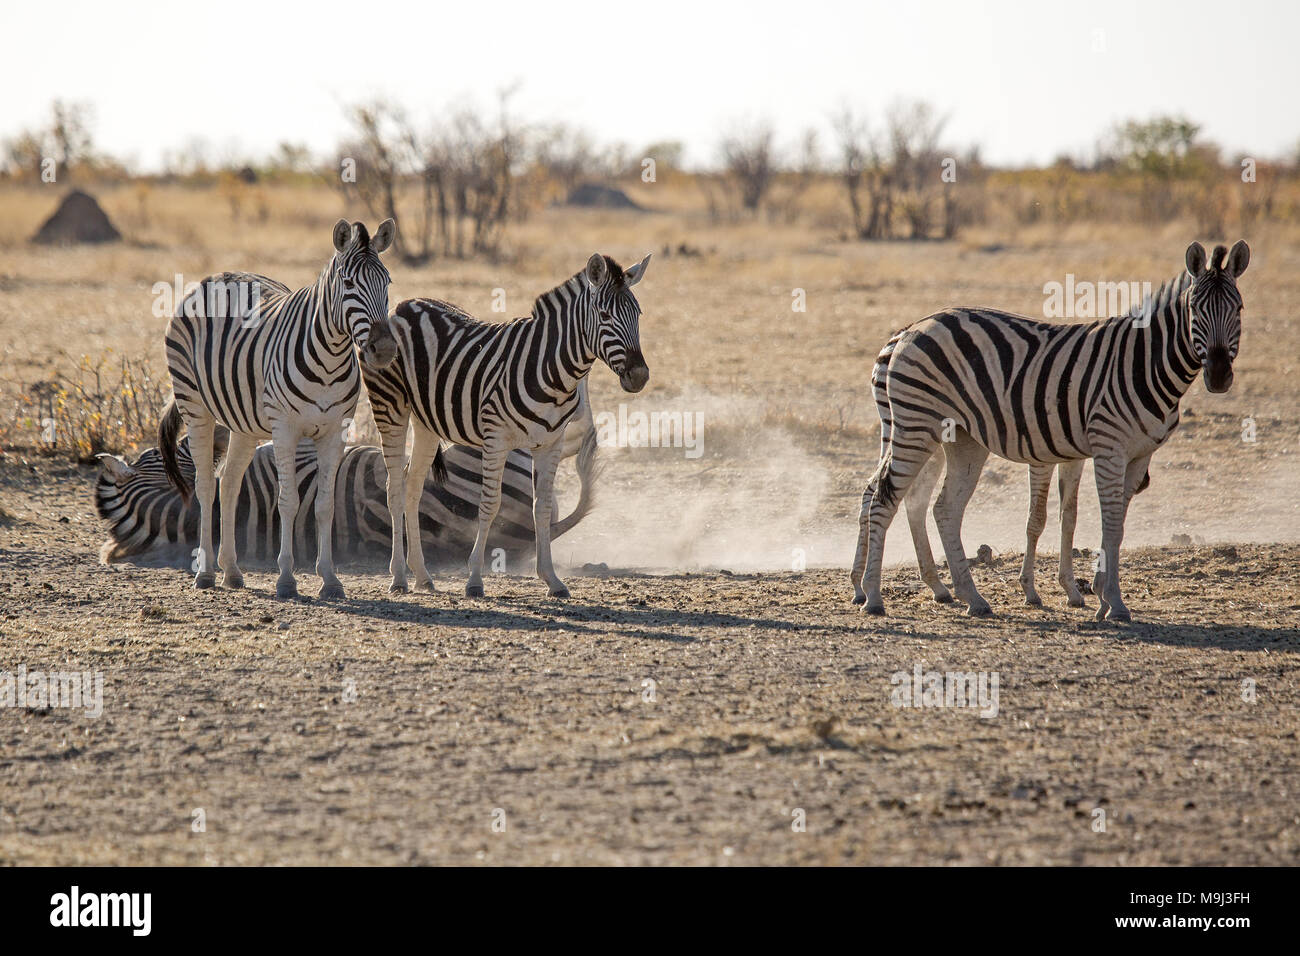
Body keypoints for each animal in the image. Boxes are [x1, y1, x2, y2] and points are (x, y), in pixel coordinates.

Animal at [156, 221, 392, 600]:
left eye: (387, 282)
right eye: (349, 284)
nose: (384, 349)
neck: (330, 357)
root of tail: (213, 277)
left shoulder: (336, 431)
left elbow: (325, 505)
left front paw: (330, 579)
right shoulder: (285, 429)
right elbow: (289, 501)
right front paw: (286, 580)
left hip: (243, 424)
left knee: (229, 483)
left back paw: (232, 571)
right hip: (195, 405)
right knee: (206, 485)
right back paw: (206, 573)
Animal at [364, 254, 650, 598]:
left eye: (638, 314)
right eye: (605, 315)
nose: (639, 376)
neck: (553, 371)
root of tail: (403, 305)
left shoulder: (550, 443)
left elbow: (542, 508)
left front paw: (552, 580)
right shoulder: (496, 438)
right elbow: (489, 505)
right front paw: (474, 579)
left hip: (426, 421)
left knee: (413, 485)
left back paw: (422, 575)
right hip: (390, 406)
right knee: (394, 486)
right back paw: (398, 577)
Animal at [852, 240, 1248, 621]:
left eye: (1239, 310)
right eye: (1195, 310)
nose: (1218, 376)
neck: (1143, 363)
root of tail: (913, 327)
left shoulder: (1135, 455)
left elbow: (1093, 522)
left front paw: (1096, 595)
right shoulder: (1106, 447)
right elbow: (1103, 522)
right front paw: (1112, 602)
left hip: (960, 439)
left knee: (937, 507)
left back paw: (969, 597)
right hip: (915, 426)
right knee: (885, 498)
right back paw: (872, 596)